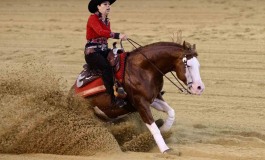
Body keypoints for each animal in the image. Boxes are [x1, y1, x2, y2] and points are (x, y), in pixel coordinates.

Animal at [70, 41, 204, 154]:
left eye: (198, 65)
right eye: (188, 65)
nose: (199, 88)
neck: (144, 68)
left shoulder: (154, 98)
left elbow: (171, 112)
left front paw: (164, 129)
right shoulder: (141, 103)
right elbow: (153, 126)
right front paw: (165, 149)